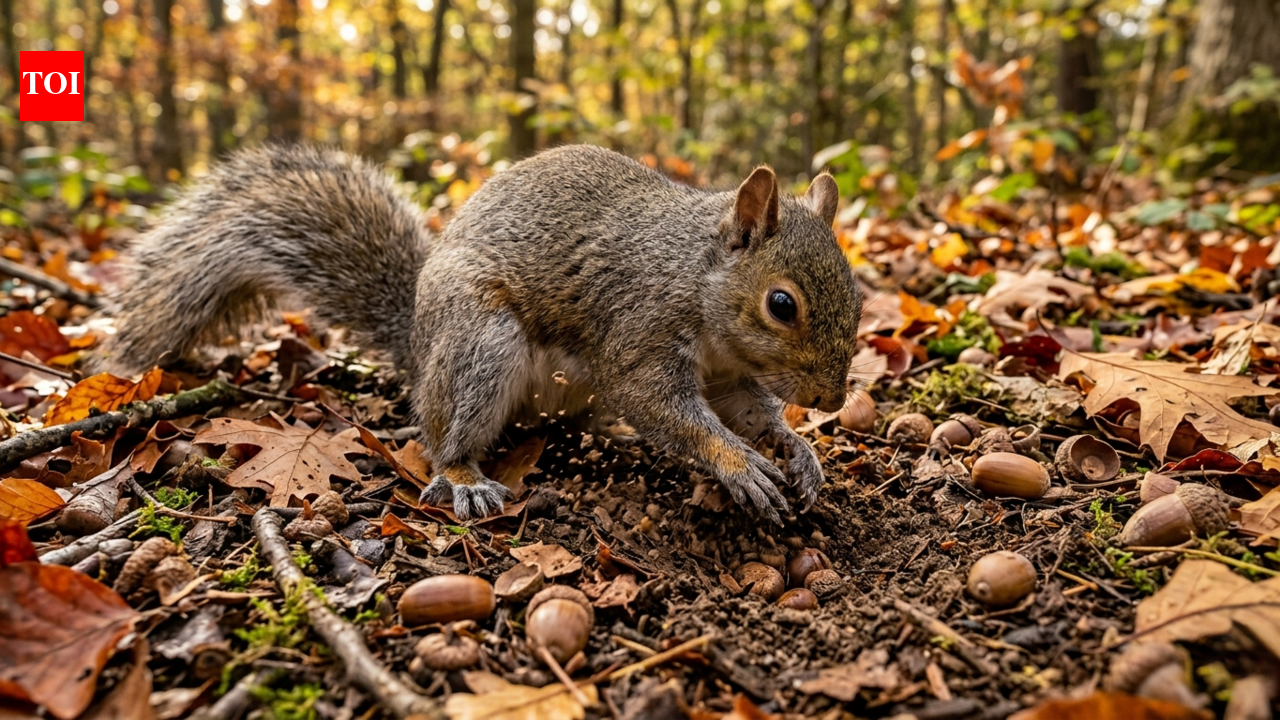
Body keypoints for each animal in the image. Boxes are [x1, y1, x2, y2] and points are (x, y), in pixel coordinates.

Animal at [102, 144, 863, 523]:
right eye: (781, 304)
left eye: (858, 293)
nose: (829, 400)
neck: (697, 279)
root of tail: (417, 343)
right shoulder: (639, 332)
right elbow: (660, 406)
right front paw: (739, 464)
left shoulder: (732, 375)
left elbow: (751, 413)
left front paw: (797, 449)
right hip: (479, 347)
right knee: (442, 439)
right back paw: (465, 477)